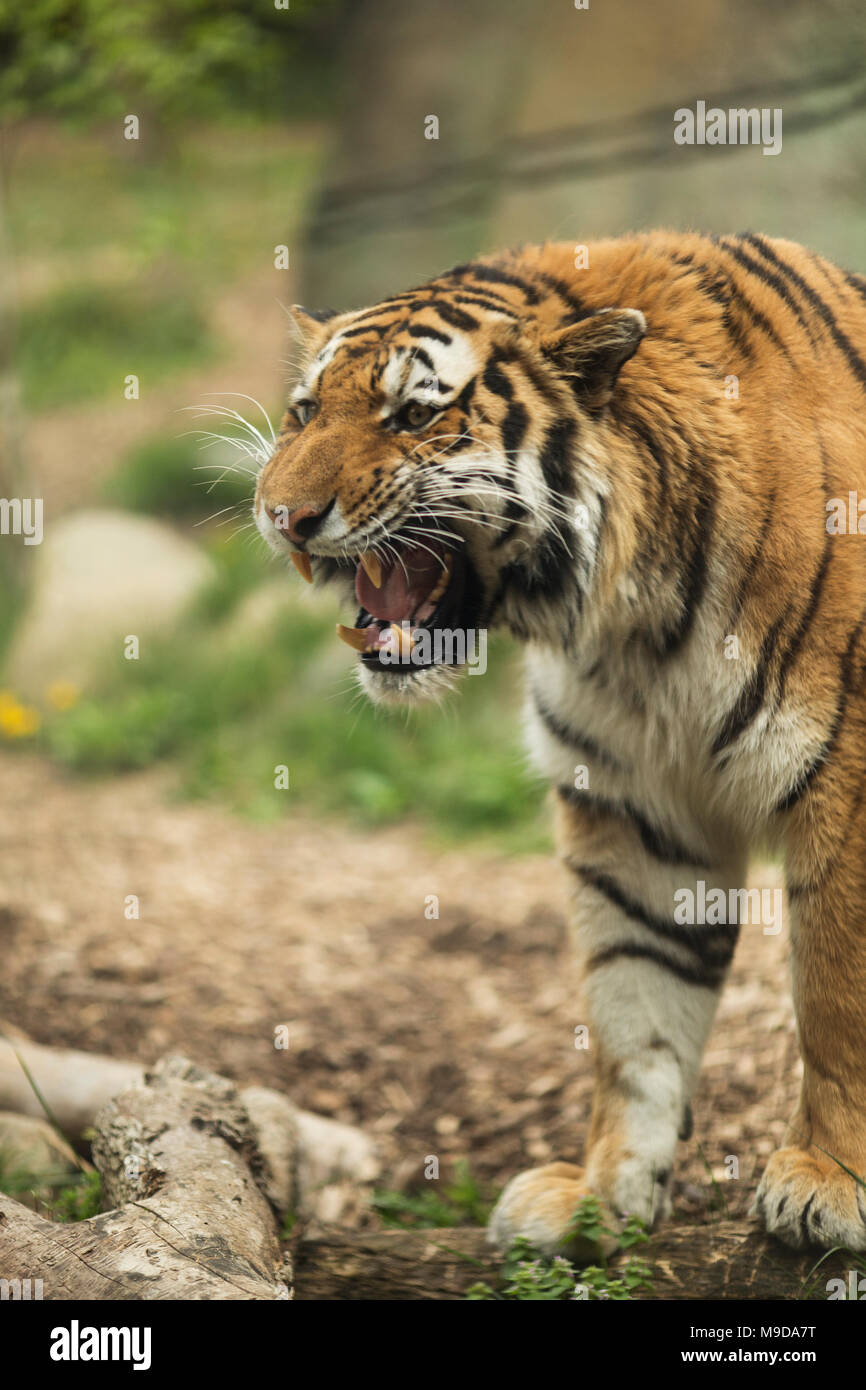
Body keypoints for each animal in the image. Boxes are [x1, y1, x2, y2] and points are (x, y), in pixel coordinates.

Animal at [254, 231, 866, 1255]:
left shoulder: (849, 794)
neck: (639, 625)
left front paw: (829, 1182)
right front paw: (601, 1193)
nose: (279, 515)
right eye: (304, 411)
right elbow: (634, 1007)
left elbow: (836, 997)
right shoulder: (632, 807)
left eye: (413, 415)